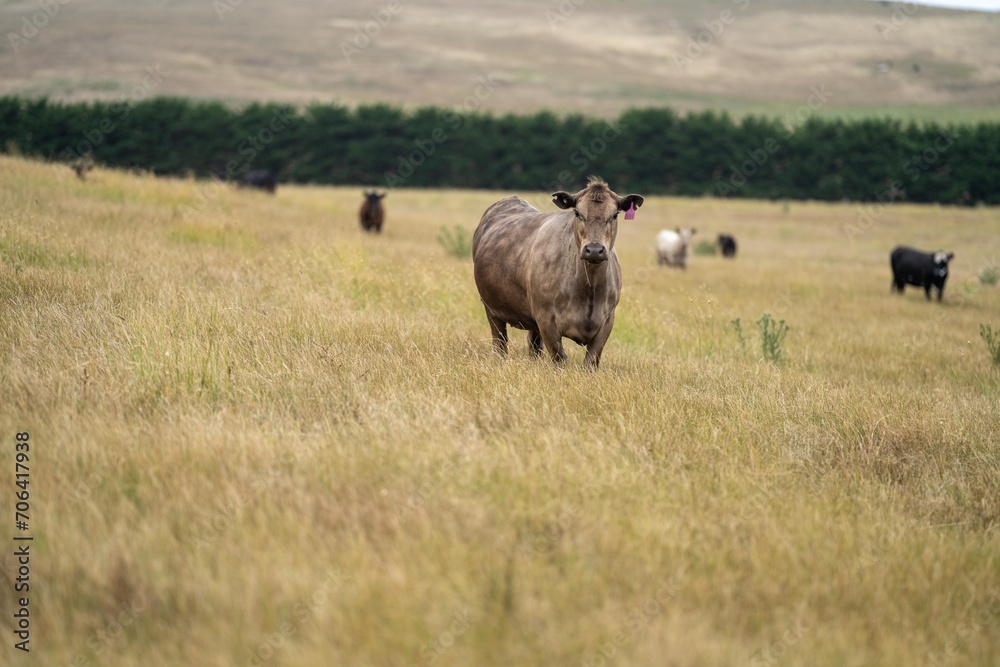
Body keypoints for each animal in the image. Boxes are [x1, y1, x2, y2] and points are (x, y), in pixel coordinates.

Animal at [472, 176, 644, 370]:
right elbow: (560, 359)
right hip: (491, 308)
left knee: (533, 346)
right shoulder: (546, 319)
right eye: (577, 212)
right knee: (500, 343)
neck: (588, 289)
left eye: (614, 215)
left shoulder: (607, 320)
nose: (594, 250)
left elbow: (591, 361)